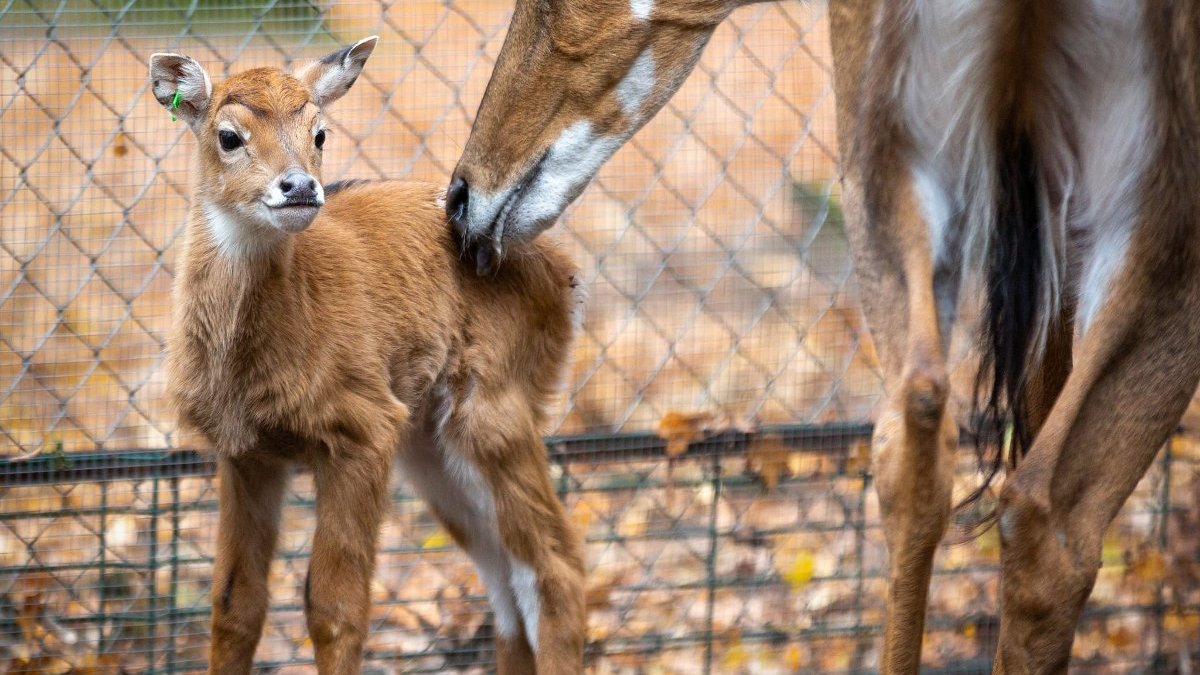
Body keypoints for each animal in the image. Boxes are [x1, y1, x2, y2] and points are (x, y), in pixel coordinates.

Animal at [151, 38, 585, 672]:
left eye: (320, 133)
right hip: (427, 440)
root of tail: (564, 276)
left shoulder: (362, 427)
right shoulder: (246, 453)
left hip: (493, 405)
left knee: (556, 567)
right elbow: (234, 605)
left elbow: (335, 609)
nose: (300, 187)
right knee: (506, 578)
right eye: (228, 136)